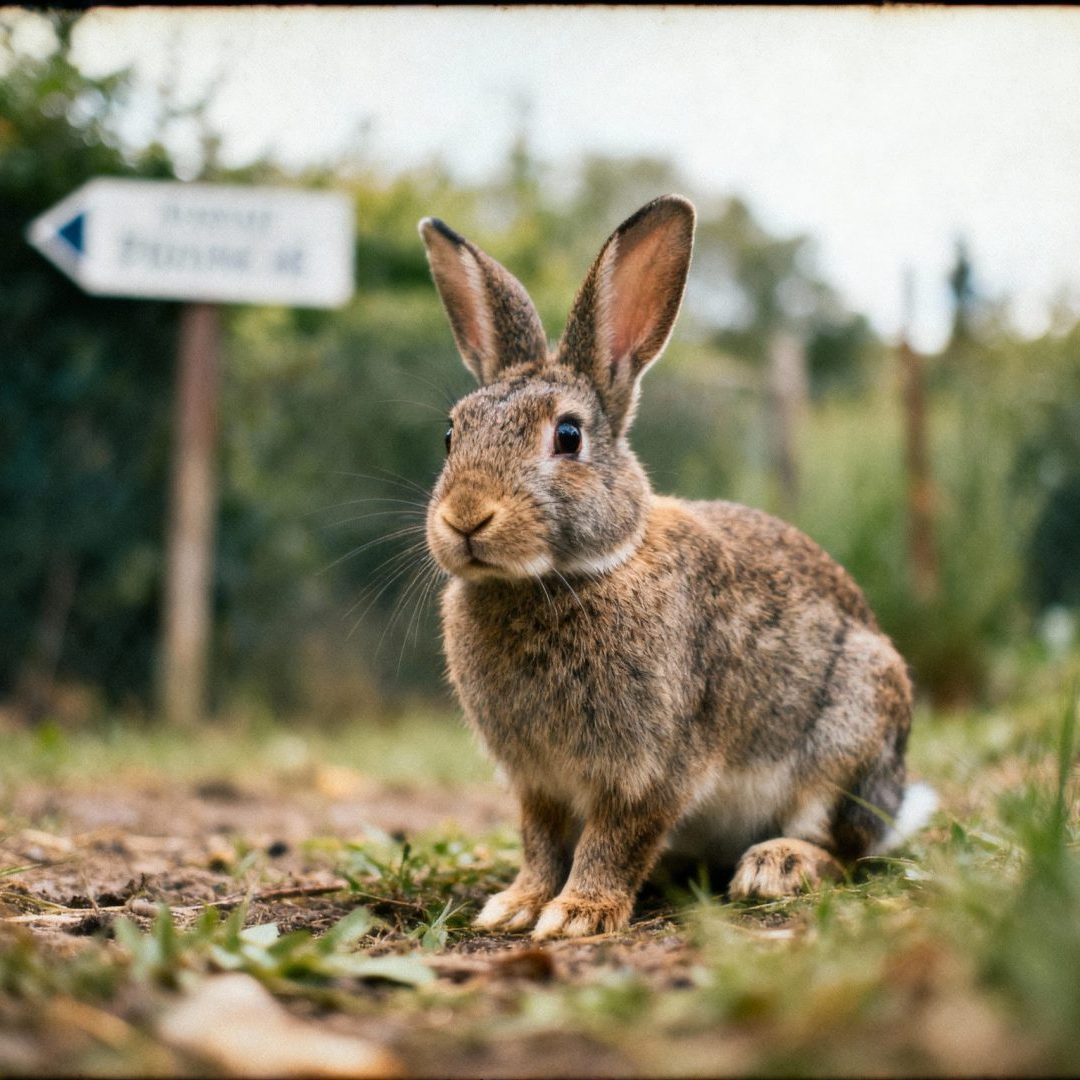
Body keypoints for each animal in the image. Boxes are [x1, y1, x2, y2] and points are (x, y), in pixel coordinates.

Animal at [417, 195, 936, 940]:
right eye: (451, 433)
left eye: (567, 436)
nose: (465, 517)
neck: (569, 576)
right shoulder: (536, 782)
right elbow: (540, 842)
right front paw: (516, 905)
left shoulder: (650, 769)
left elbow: (614, 840)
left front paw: (577, 914)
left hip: (849, 740)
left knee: (843, 849)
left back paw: (777, 865)